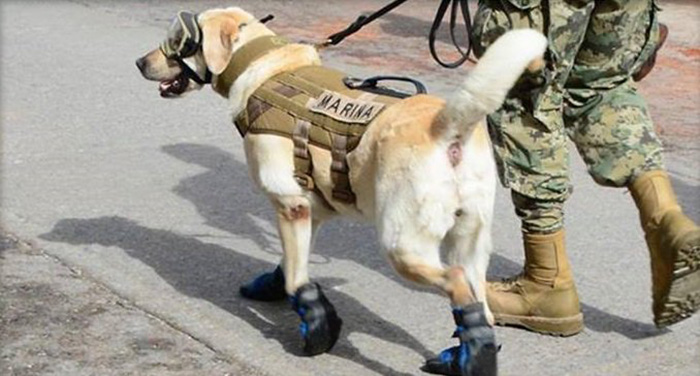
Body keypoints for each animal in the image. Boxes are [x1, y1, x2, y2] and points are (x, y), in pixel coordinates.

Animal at [134, 6, 544, 376]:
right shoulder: (308, 209)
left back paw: (473, 359)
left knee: (457, 284)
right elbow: (291, 261)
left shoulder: (290, 203)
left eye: (177, 40)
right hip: (470, 240)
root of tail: (447, 126)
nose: (139, 62)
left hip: (403, 244)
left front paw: (315, 323)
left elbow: (299, 279)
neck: (266, 66)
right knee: (479, 302)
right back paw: (463, 356)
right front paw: (275, 284)